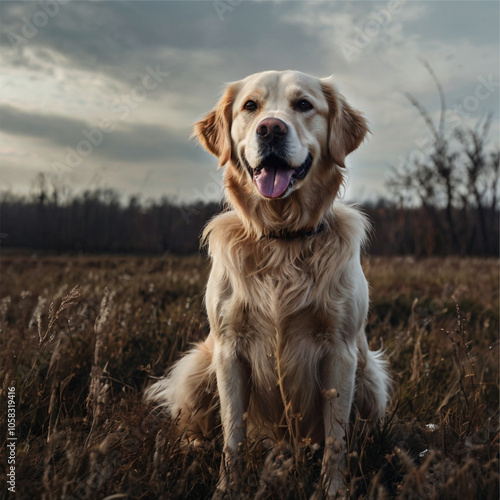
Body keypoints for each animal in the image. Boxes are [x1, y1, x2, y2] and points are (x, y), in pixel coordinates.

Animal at [146, 69, 392, 496]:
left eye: (304, 104)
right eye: (250, 106)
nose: (271, 128)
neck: (283, 238)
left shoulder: (340, 351)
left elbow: (336, 437)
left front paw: (334, 490)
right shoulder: (229, 348)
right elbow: (232, 432)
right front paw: (227, 488)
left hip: (371, 377)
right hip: (200, 362)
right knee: (194, 424)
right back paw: (190, 451)